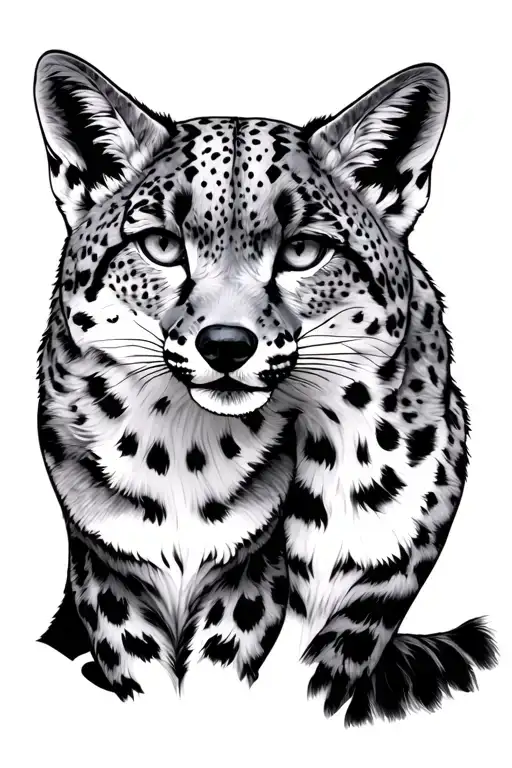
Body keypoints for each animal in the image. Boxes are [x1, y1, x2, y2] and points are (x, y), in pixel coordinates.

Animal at [35, 49, 497, 725]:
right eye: (161, 245)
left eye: (303, 250)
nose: (227, 344)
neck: (184, 450)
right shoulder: (109, 572)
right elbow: (141, 668)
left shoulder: (300, 586)